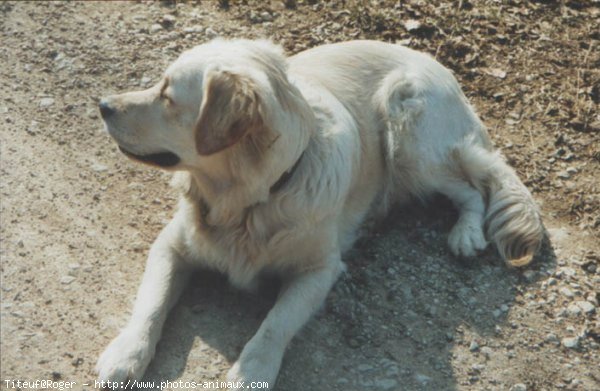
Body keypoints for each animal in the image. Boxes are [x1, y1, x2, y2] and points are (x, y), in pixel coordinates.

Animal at [97, 39, 544, 388]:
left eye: (168, 97)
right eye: (159, 84)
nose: (103, 105)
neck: (248, 202)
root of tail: (442, 68)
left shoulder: (320, 270)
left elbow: (276, 323)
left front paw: (251, 371)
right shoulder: (171, 246)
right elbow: (151, 303)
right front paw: (124, 355)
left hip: (408, 137)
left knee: (472, 187)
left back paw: (467, 233)